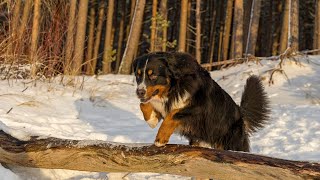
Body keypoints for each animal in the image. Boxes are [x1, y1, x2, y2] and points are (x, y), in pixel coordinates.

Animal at [132, 52, 270, 152]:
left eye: (153, 75)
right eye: (138, 75)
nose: (139, 92)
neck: (174, 87)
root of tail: (241, 115)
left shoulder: (199, 107)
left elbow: (172, 115)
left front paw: (160, 138)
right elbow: (143, 104)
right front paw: (152, 120)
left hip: (231, 143)